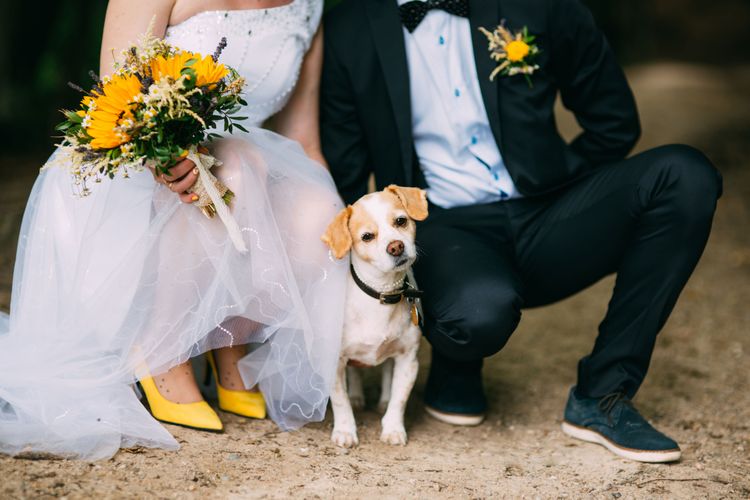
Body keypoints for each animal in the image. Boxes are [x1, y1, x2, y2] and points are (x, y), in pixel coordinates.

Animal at [322, 186, 428, 448]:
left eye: (401, 221)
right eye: (367, 236)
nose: (396, 246)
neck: (382, 293)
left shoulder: (408, 360)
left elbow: (400, 400)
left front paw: (393, 428)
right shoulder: (335, 362)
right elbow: (340, 400)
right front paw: (345, 431)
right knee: (354, 373)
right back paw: (357, 396)